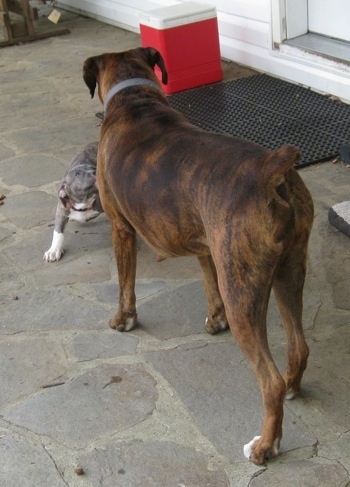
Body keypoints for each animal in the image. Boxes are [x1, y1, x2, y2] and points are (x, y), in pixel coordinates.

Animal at [82, 47, 314, 468]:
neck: (135, 98)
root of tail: (270, 168)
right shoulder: (206, 247)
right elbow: (208, 284)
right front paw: (213, 320)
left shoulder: (121, 230)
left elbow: (125, 284)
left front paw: (123, 320)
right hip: (289, 272)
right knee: (298, 346)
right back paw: (292, 386)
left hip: (243, 292)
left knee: (268, 381)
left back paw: (264, 445)